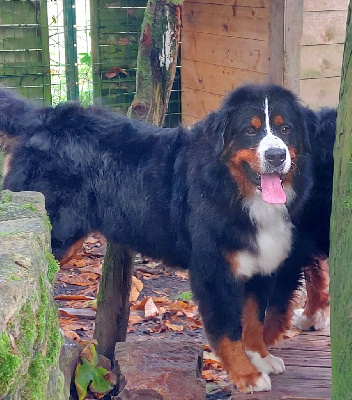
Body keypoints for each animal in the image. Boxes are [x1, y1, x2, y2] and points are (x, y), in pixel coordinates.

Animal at [0, 85, 330, 394]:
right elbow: (228, 330)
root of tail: (46, 116)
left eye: (285, 129)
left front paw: (260, 357)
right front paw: (246, 375)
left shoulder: (262, 265)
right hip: (57, 235)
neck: (234, 192)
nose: (276, 155)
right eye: (250, 130)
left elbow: (254, 321)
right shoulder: (215, 272)